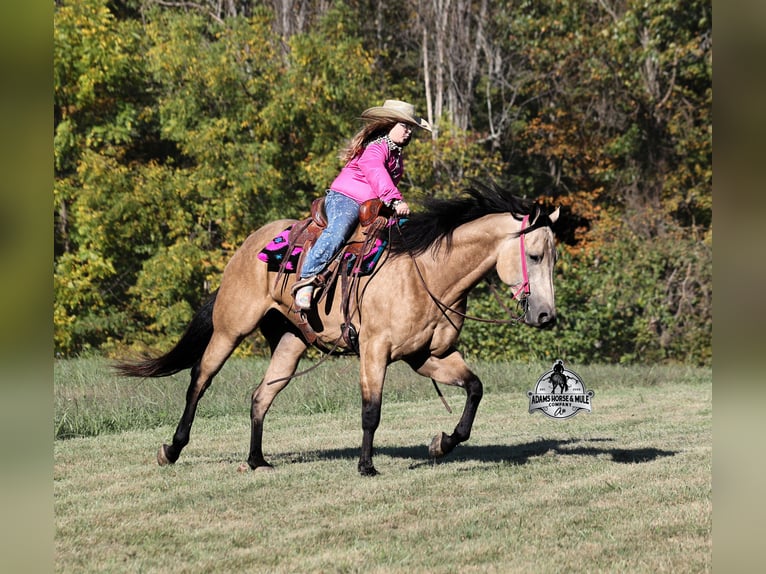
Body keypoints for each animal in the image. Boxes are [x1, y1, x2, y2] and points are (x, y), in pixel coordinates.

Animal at [115, 184, 560, 476]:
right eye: (536, 255)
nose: (546, 316)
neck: (427, 273)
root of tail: (249, 245)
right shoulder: (375, 350)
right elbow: (371, 411)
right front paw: (366, 466)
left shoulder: (427, 356)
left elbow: (475, 388)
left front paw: (441, 443)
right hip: (230, 329)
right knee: (199, 380)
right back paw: (172, 450)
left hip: (291, 342)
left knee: (261, 395)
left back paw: (257, 460)